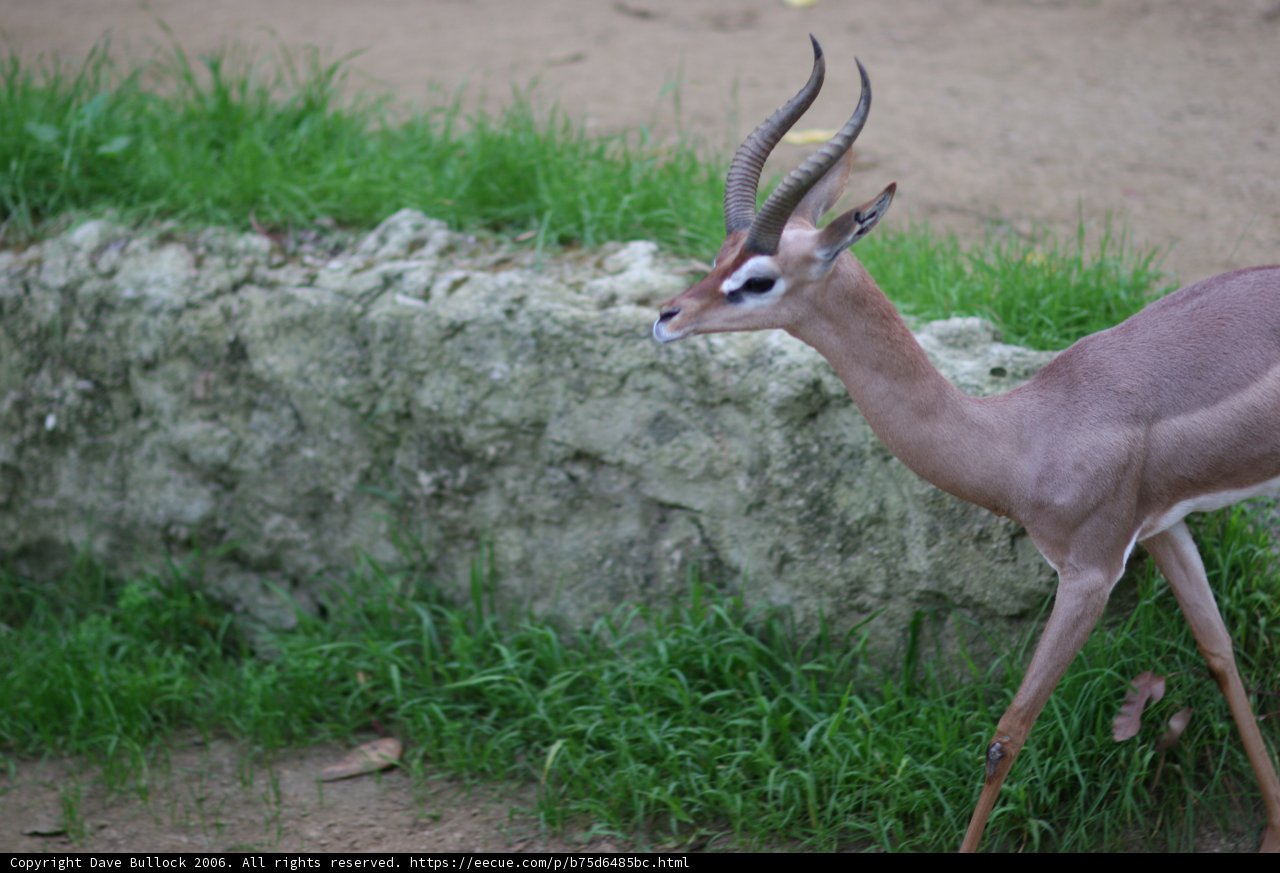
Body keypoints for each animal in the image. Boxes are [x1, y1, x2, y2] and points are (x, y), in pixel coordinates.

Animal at [652, 37, 1280, 852]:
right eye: (721, 254)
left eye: (757, 278)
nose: (665, 316)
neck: (1023, 433)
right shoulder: (1162, 527)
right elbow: (1219, 653)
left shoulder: (1089, 571)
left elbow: (1006, 734)